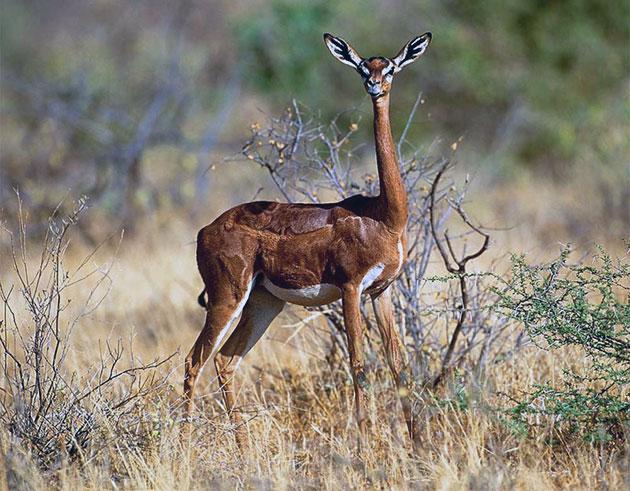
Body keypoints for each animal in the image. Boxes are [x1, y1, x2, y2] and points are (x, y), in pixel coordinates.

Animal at [184, 32, 432, 451]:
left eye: (390, 67)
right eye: (363, 67)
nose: (374, 86)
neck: (383, 216)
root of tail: (206, 229)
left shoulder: (381, 291)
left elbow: (398, 363)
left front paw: (417, 446)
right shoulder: (351, 287)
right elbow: (358, 362)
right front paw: (365, 449)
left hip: (263, 304)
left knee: (225, 360)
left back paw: (244, 449)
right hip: (226, 298)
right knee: (194, 360)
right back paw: (183, 442)